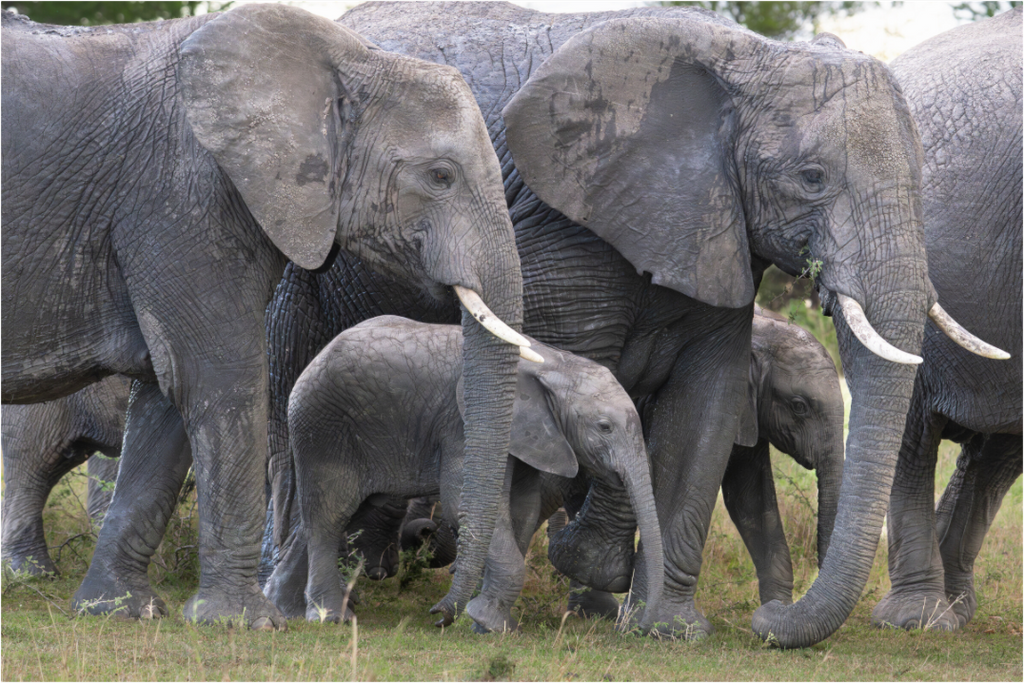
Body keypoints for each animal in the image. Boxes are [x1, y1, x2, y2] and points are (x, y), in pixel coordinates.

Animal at [272, 316, 664, 634]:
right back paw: (331, 617)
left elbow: (522, 509)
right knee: (329, 514)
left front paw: (488, 621)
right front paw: (488, 622)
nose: (437, 616)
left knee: (334, 514)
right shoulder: (464, 426)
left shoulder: (531, 440)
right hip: (322, 426)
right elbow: (463, 501)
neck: (555, 362)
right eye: (604, 427)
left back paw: (307, 609)